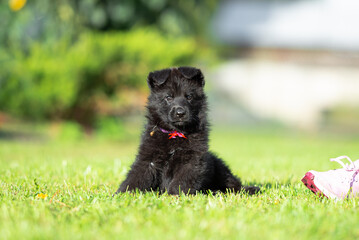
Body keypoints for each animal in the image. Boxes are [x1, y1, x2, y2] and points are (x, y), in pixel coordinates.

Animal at [116, 67, 260, 195]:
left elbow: (181, 181)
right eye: (168, 97)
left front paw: (174, 195)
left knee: (233, 184)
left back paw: (248, 189)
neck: (175, 134)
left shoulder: (192, 159)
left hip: (219, 167)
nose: (180, 113)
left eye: (189, 97)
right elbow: (136, 177)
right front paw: (122, 194)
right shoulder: (148, 158)